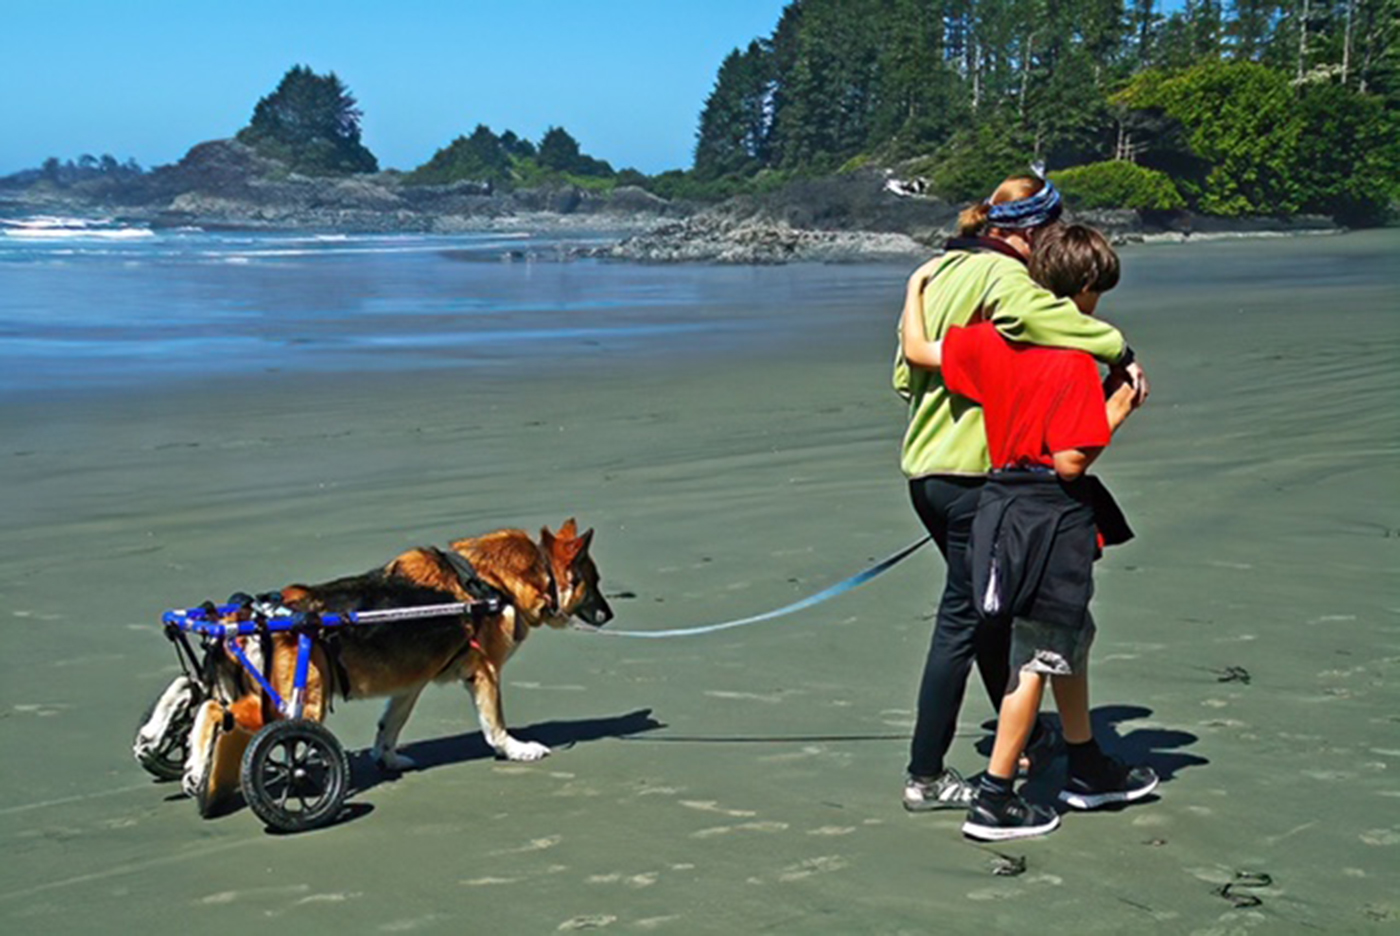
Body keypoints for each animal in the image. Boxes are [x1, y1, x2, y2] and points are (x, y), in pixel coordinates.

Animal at [176, 517, 613, 805]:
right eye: (594, 583)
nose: (610, 615)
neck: (493, 582)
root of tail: (251, 614)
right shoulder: (485, 674)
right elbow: (495, 726)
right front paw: (514, 750)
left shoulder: (410, 684)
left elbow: (390, 725)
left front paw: (386, 758)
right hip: (294, 707)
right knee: (215, 710)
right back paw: (197, 768)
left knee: (208, 704)